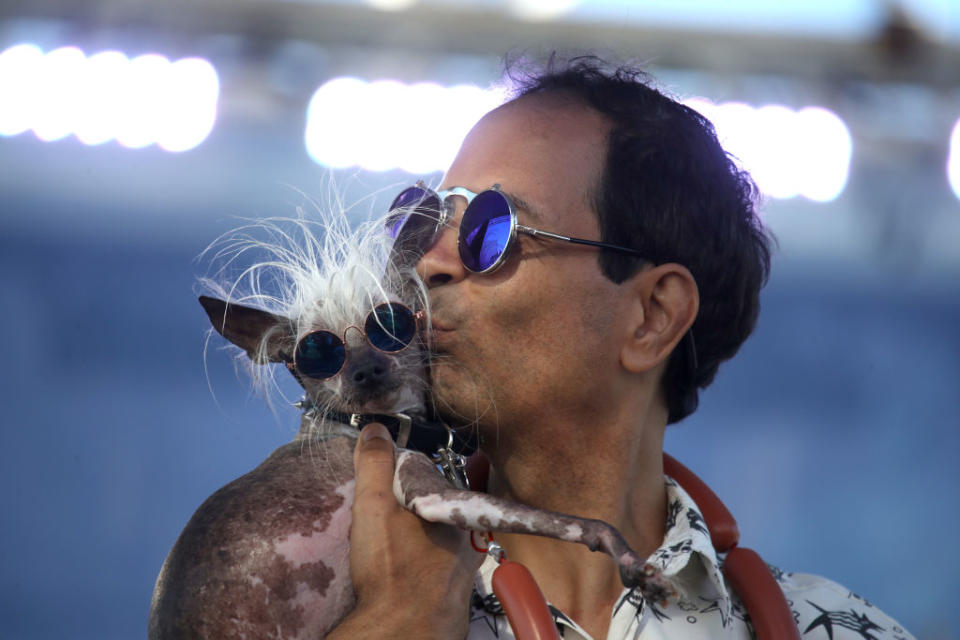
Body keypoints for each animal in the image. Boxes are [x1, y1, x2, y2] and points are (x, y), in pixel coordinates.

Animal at [152, 211, 676, 640]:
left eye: (391, 325)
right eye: (317, 352)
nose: (366, 371)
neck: (368, 425)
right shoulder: (429, 493)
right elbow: (577, 523)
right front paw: (627, 558)